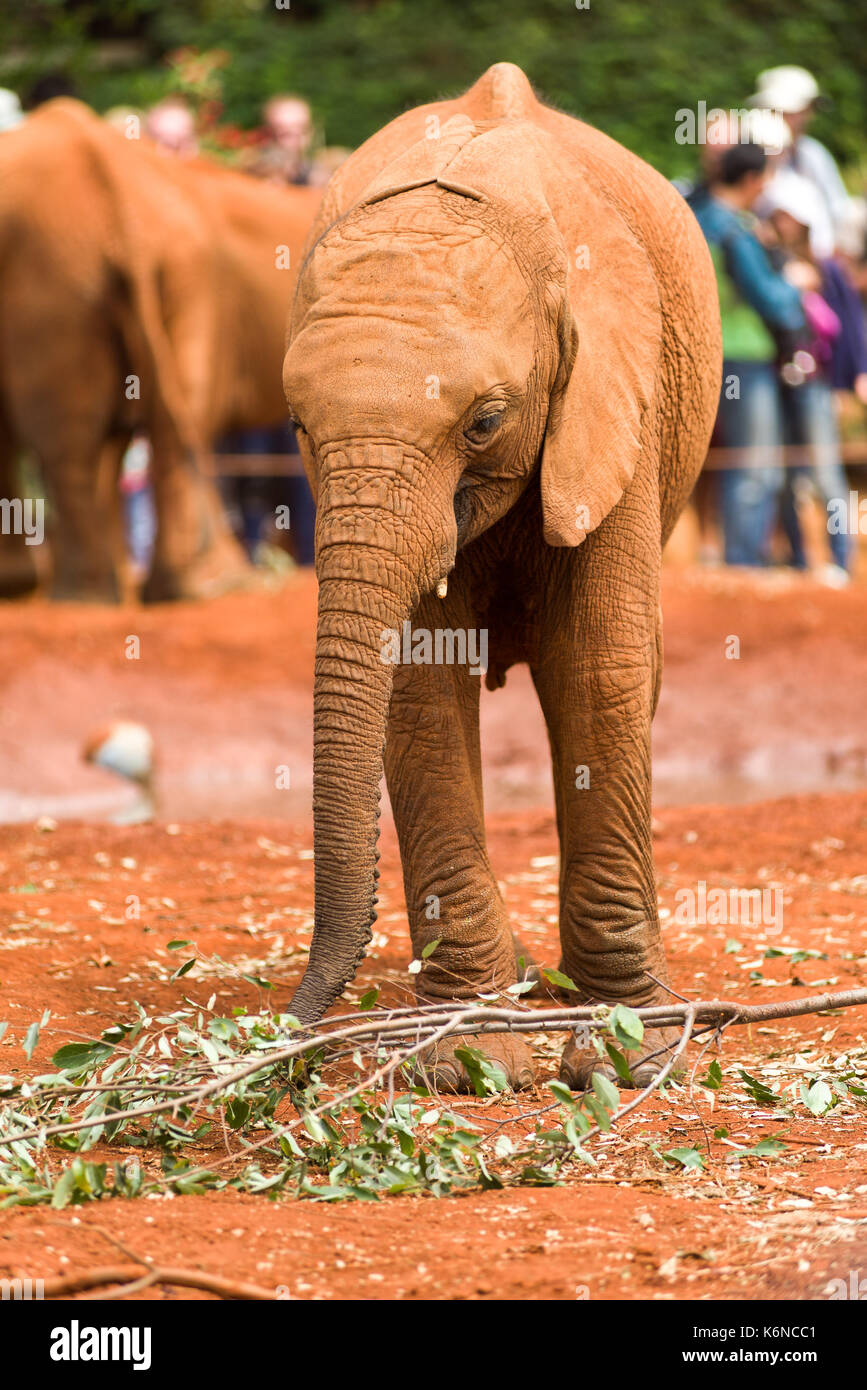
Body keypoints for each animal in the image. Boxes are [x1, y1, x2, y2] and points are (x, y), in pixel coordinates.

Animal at [0, 97, 319, 597]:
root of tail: (117, 196)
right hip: (173, 270)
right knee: (172, 417)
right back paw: (199, 588)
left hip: (59, 279)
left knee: (73, 441)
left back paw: (85, 596)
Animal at [280, 62, 722, 1084]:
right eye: (298, 428)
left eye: (484, 422)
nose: (293, 1032)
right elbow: (417, 686)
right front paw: (465, 1049)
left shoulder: (616, 396)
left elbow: (598, 669)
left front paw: (632, 1044)